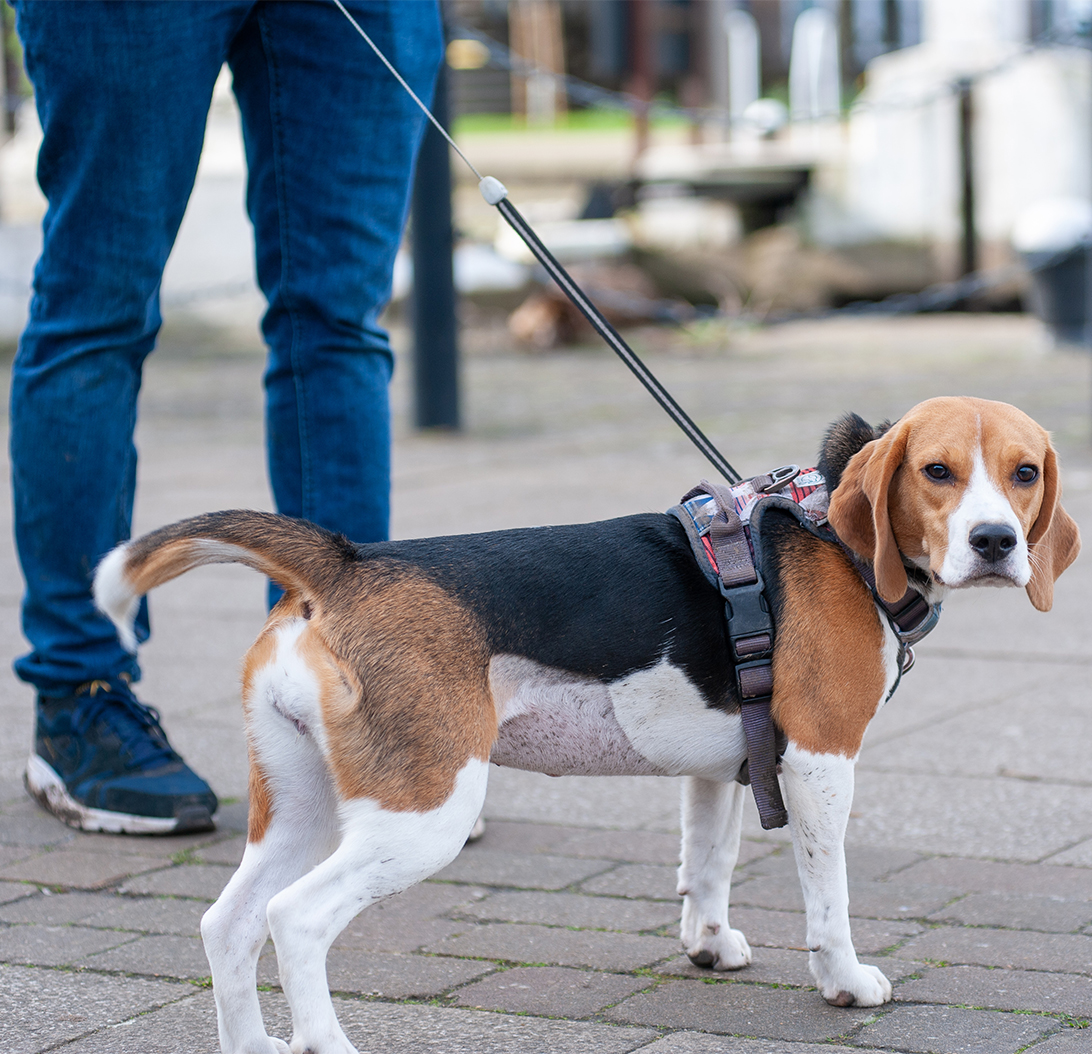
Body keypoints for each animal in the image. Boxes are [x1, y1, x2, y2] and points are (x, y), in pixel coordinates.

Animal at [91, 395, 1074, 1052]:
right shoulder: (820, 762)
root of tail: (347, 563)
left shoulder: (722, 766)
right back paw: (324, 1042)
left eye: (1024, 473)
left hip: (300, 805)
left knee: (229, 923)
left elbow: (707, 863)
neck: (832, 527)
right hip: (422, 813)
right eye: (937, 471)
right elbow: (826, 896)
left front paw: (708, 945)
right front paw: (844, 981)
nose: (995, 542)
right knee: (295, 920)